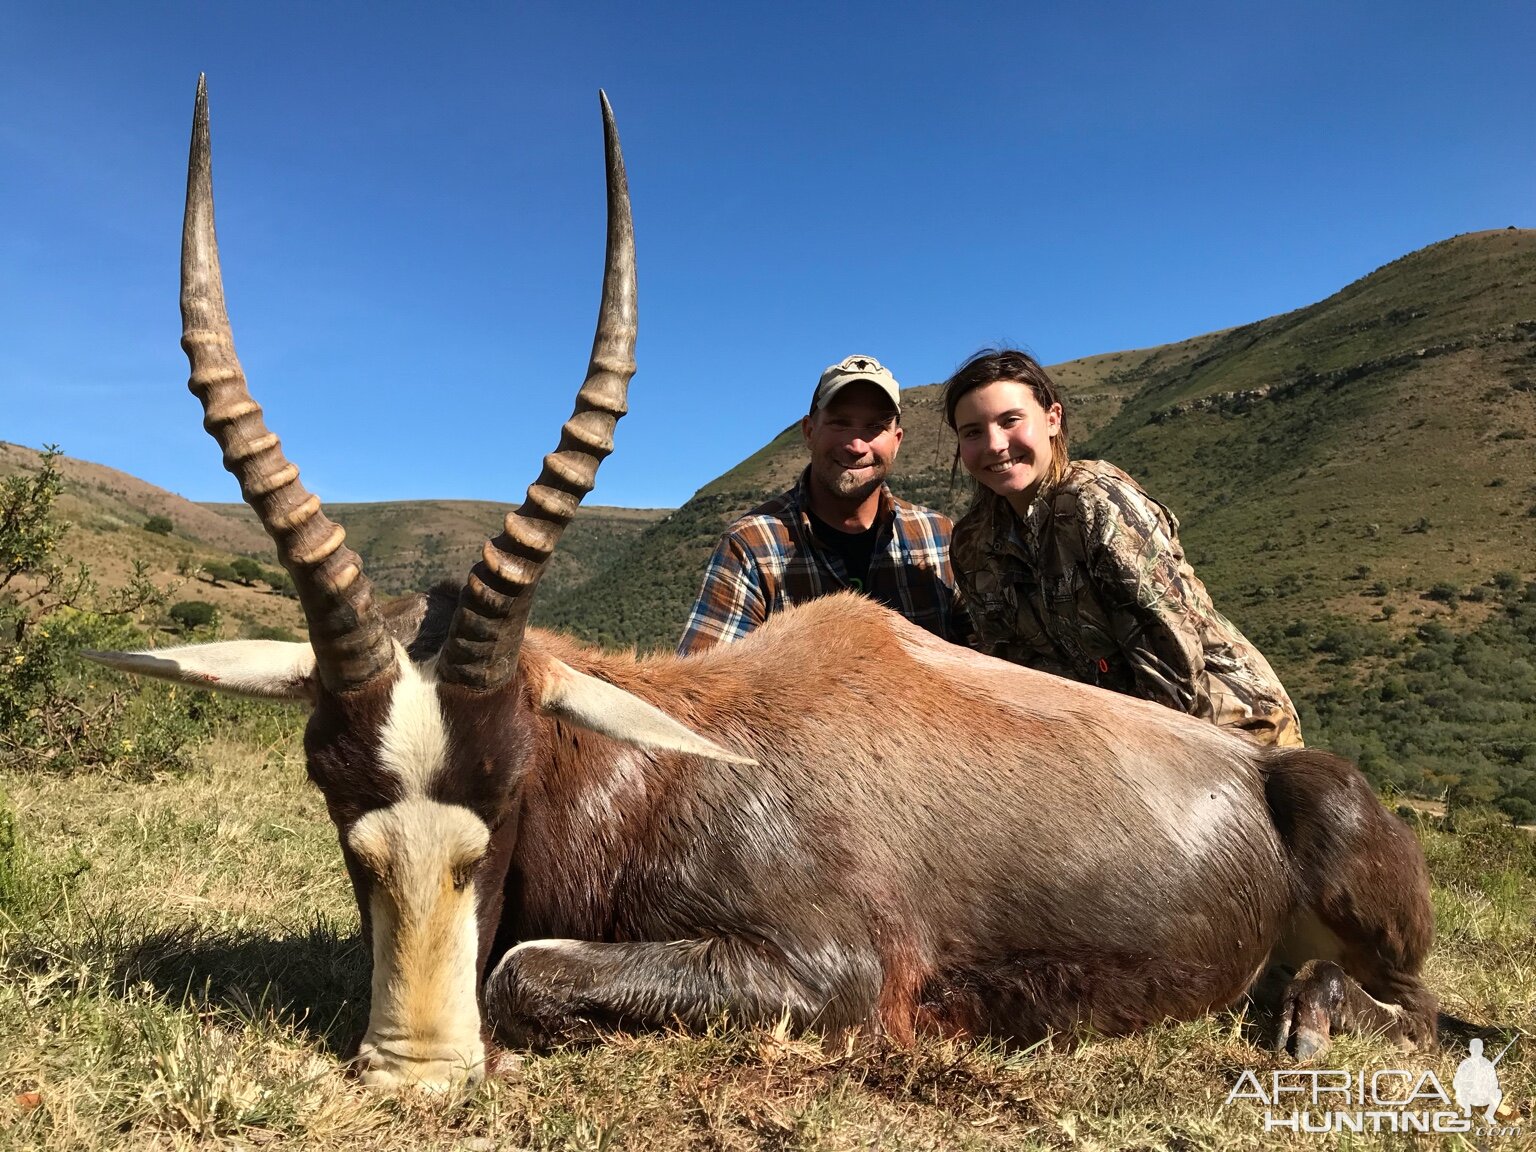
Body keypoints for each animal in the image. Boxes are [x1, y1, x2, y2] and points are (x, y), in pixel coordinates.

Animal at [87, 79, 1437, 1093]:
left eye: (515, 775)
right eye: (327, 779)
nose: (416, 1067)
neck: (651, 771)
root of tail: (1269, 773)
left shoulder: (831, 973)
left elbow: (522, 967)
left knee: (1419, 1007)